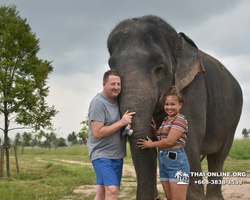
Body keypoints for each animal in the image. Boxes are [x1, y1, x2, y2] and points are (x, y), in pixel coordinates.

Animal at [107, 15, 242, 200]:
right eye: (111, 67)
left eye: (160, 68)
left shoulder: (194, 87)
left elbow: (189, 142)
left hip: (233, 117)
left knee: (218, 156)